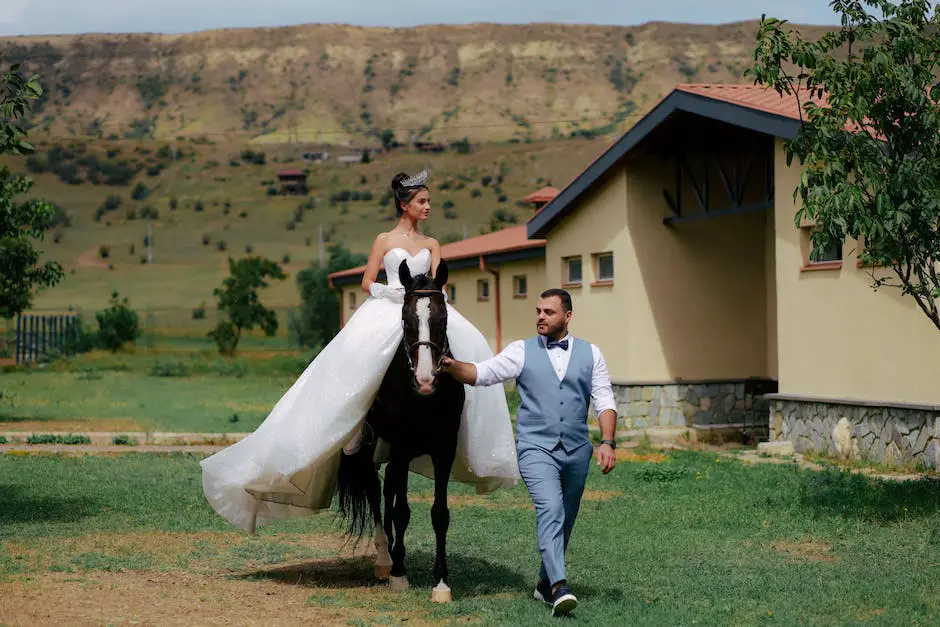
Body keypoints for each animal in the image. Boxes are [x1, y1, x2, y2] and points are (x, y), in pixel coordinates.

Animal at [342, 258, 466, 600]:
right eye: (405, 318)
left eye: (443, 317)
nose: (425, 380)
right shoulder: (401, 447)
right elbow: (401, 511)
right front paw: (399, 572)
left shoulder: (443, 451)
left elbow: (440, 514)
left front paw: (441, 582)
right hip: (373, 446)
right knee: (375, 490)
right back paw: (385, 559)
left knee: (387, 490)